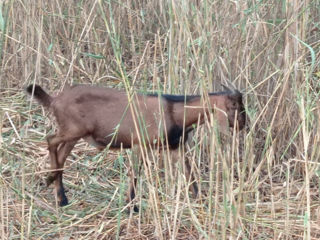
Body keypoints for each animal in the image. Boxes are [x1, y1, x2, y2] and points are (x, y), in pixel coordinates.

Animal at [26, 84, 246, 208]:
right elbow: (136, 173)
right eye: (236, 107)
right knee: (50, 140)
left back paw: (61, 197)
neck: (175, 111)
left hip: (74, 136)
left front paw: (200, 198)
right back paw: (50, 180)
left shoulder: (175, 147)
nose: (243, 125)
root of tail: (55, 100)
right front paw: (132, 205)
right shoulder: (141, 144)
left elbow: (189, 172)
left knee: (60, 154)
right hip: (73, 130)